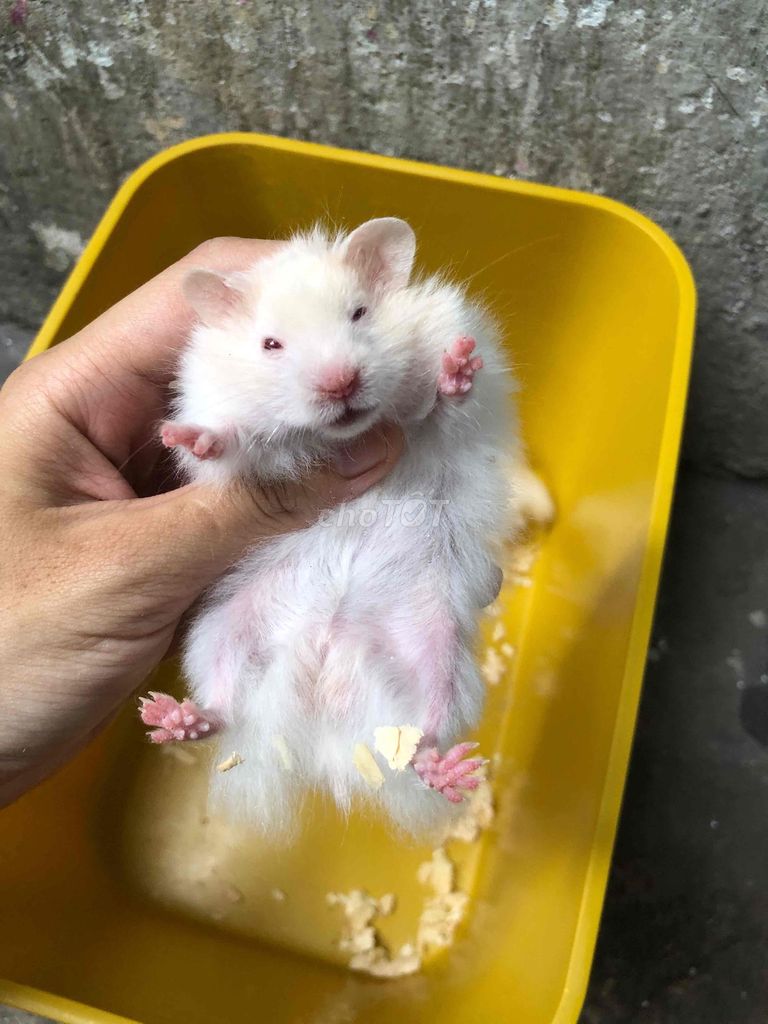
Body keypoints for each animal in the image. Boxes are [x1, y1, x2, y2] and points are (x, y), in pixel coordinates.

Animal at [139, 218, 551, 837]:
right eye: (270, 345)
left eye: (359, 313)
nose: (340, 383)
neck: (346, 435)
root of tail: (323, 704)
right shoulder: (241, 447)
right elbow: (235, 445)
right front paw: (186, 435)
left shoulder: (450, 421)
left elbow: (445, 410)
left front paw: (455, 366)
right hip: (222, 634)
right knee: (223, 706)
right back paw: (170, 717)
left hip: (442, 655)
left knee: (425, 733)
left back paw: (448, 772)